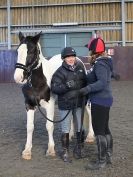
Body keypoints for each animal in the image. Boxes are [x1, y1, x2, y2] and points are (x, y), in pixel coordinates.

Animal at [13, 31, 94, 160]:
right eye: (17, 51)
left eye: (30, 51)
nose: (18, 77)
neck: (38, 82)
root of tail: (78, 60)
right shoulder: (29, 105)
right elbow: (30, 127)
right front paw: (27, 151)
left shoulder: (49, 105)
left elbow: (49, 126)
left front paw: (51, 150)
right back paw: (71, 134)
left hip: (84, 100)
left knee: (89, 112)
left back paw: (90, 136)